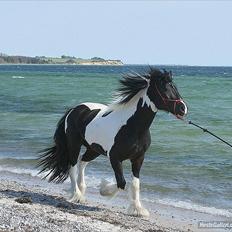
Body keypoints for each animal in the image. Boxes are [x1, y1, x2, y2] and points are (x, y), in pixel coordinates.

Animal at [37, 67, 187, 218]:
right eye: (164, 88)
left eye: (174, 86)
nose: (183, 108)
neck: (132, 127)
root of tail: (74, 109)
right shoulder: (115, 158)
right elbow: (122, 182)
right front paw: (104, 190)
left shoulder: (138, 158)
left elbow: (135, 184)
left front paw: (138, 209)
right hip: (74, 144)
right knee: (72, 166)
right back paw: (77, 195)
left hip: (94, 149)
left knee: (82, 162)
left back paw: (82, 188)